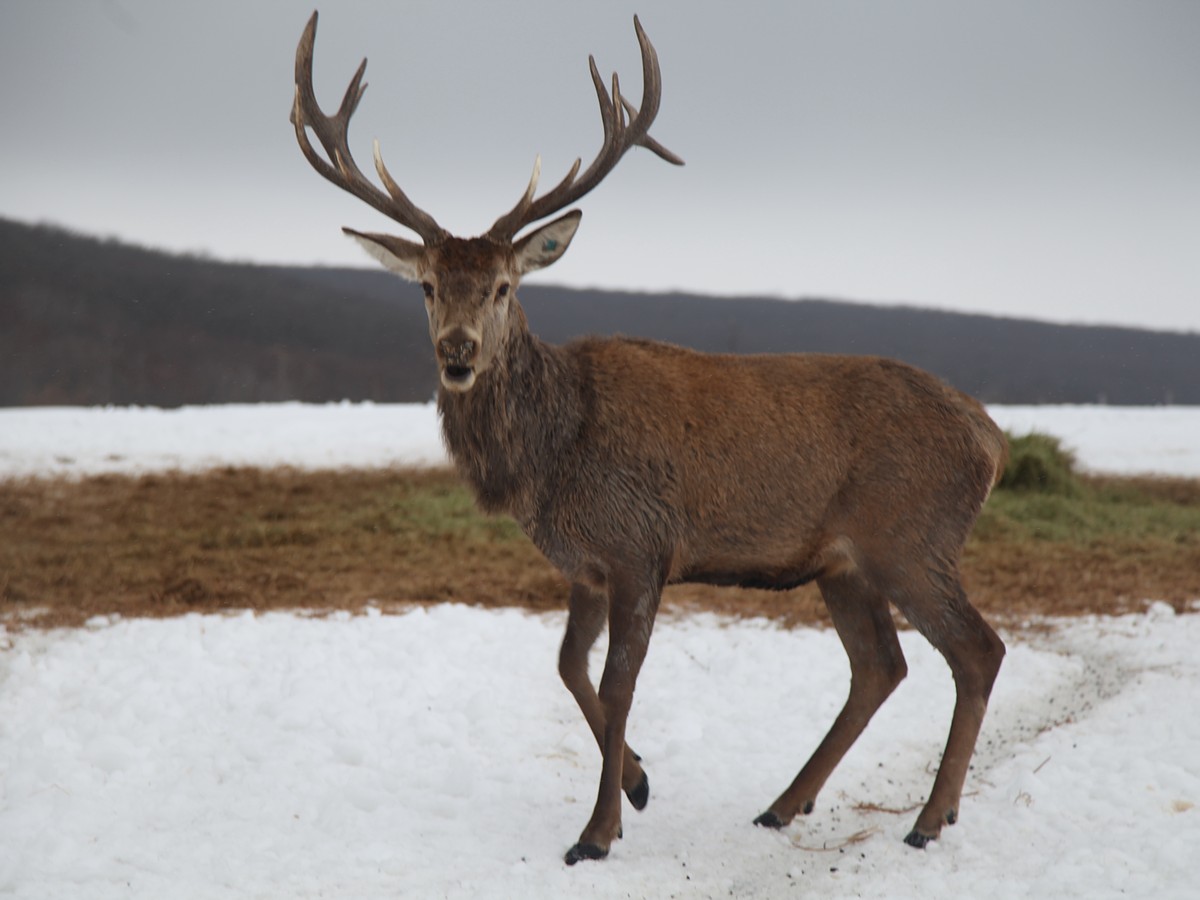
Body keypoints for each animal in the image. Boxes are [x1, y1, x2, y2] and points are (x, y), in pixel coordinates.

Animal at [292, 8, 1012, 868]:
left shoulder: (642, 545)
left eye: (503, 286)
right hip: (845, 562)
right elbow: (568, 668)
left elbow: (617, 685)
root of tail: (992, 439)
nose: (458, 352)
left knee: (977, 649)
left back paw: (930, 818)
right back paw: (785, 804)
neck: (551, 457)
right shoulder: (585, 563)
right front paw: (637, 782)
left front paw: (597, 832)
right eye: (429, 286)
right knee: (881, 665)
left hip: (912, 536)